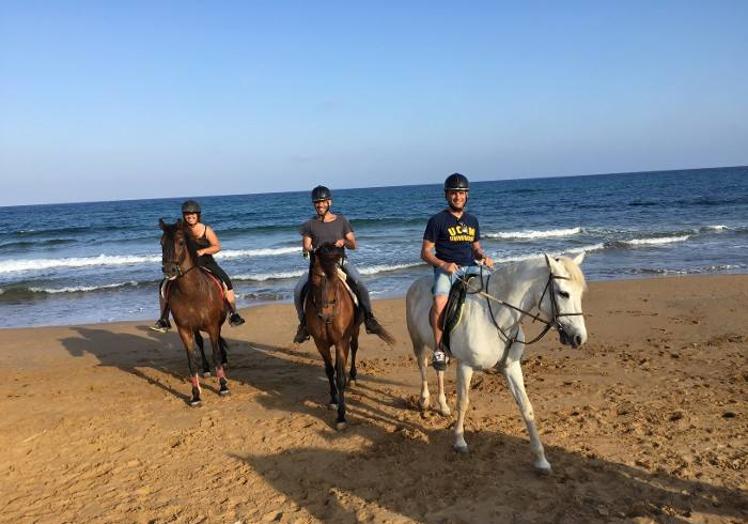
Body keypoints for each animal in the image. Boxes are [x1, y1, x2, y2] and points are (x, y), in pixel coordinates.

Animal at [162, 217, 232, 406]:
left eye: (180, 242)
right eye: (161, 243)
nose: (169, 270)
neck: (192, 292)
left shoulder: (213, 326)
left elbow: (216, 353)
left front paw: (223, 386)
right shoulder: (184, 330)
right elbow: (192, 361)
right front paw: (195, 395)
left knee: (218, 343)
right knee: (200, 342)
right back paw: (206, 369)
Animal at [306, 242, 394, 430]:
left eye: (335, 280)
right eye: (314, 279)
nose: (324, 316)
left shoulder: (341, 342)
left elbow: (339, 377)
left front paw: (341, 416)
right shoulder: (320, 343)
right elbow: (329, 371)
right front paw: (333, 400)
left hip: (354, 331)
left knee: (354, 349)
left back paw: (352, 378)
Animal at [406, 252, 588, 472]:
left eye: (580, 293)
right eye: (563, 293)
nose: (579, 338)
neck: (494, 316)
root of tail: (416, 283)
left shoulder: (511, 367)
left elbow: (526, 407)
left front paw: (541, 459)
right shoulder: (465, 366)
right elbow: (463, 402)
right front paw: (459, 441)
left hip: (439, 348)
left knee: (438, 370)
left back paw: (442, 406)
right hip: (417, 342)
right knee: (423, 367)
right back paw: (424, 400)